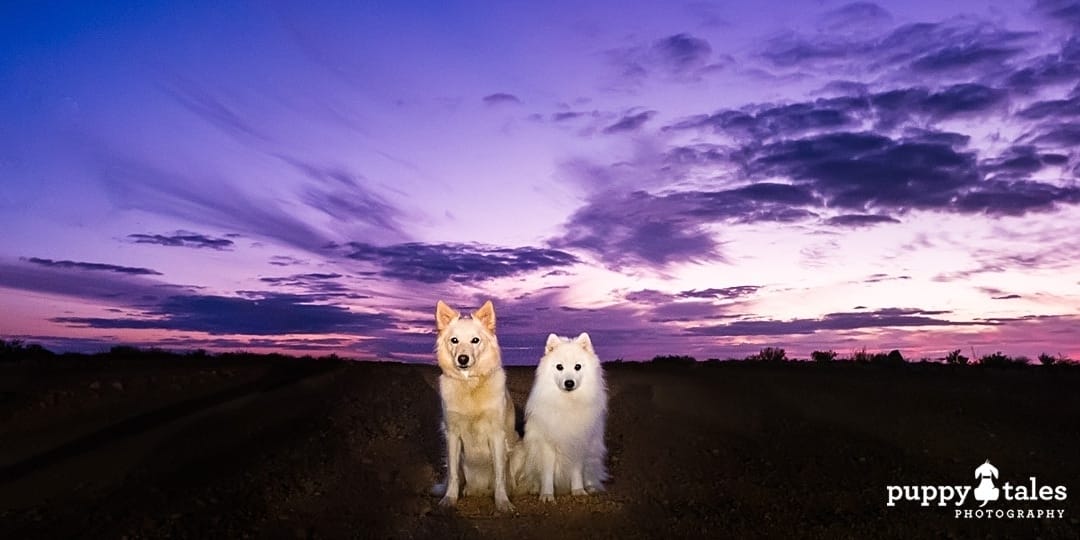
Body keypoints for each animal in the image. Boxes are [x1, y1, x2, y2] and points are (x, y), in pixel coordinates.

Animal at [429, 302, 518, 511]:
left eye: (475, 340)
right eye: (454, 340)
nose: (463, 359)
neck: (470, 385)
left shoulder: (497, 434)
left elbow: (500, 475)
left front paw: (502, 502)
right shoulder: (452, 435)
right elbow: (453, 474)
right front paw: (449, 499)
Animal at [511, 332, 609, 501]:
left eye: (578, 366)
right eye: (559, 367)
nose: (569, 383)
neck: (567, 403)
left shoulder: (578, 444)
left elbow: (577, 472)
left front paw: (578, 490)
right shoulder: (546, 446)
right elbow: (547, 474)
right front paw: (547, 495)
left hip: (593, 452)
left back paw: (591, 487)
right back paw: (535, 488)